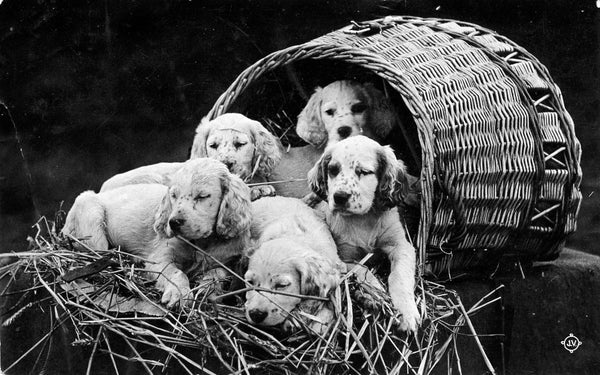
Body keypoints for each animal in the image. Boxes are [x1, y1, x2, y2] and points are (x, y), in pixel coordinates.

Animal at [60, 159, 248, 308]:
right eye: (174, 195)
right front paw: (179, 295)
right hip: (91, 216)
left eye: (202, 196)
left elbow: (218, 274)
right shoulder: (160, 258)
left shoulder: (224, 261)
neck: (201, 243)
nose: (174, 223)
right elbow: (176, 273)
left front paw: (207, 288)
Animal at [308, 135, 420, 332]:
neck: (363, 219)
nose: (339, 197)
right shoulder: (343, 258)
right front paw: (376, 292)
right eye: (333, 170)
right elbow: (362, 268)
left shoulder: (401, 246)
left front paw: (407, 312)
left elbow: (399, 276)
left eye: (364, 171)